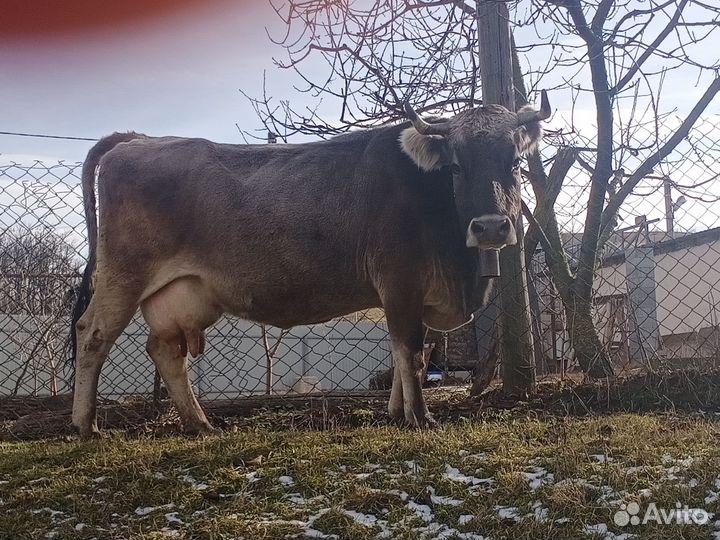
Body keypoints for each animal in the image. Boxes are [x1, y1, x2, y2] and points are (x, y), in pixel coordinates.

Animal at [70, 93, 551, 438]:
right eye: (455, 167)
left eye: (515, 162)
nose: (490, 227)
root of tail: (141, 139)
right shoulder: (400, 281)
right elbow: (410, 351)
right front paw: (419, 417)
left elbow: (407, 356)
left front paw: (397, 412)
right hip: (123, 276)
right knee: (91, 335)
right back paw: (85, 425)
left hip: (183, 292)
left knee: (165, 351)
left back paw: (200, 423)